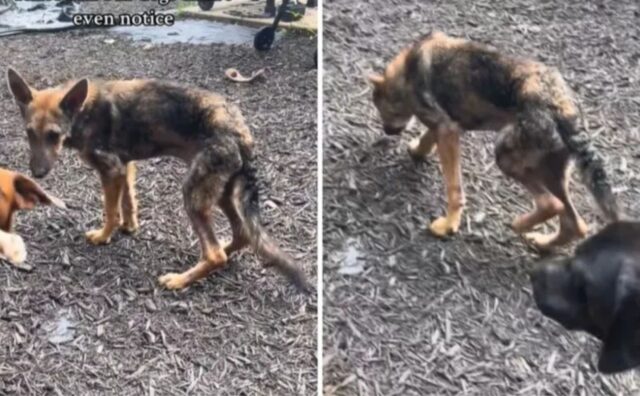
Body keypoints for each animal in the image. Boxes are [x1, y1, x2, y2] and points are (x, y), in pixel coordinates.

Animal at [6, 68, 308, 290]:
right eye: (29, 133)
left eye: (53, 135)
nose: (37, 173)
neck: (81, 112)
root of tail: (242, 132)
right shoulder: (125, 168)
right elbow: (128, 203)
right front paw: (129, 228)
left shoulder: (110, 170)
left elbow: (110, 211)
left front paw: (103, 236)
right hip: (221, 192)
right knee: (242, 234)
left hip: (193, 193)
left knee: (215, 255)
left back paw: (179, 280)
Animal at [370, 33, 620, 251]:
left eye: (380, 109)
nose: (387, 131)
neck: (406, 70)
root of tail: (565, 110)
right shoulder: (447, 125)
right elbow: (426, 138)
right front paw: (417, 151)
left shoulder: (446, 129)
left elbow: (454, 189)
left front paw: (449, 224)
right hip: (549, 170)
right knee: (575, 224)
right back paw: (541, 242)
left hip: (507, 157)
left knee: (551, 205)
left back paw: (518, 225)